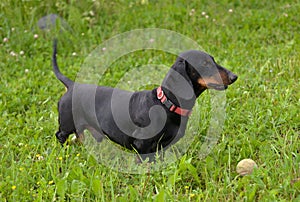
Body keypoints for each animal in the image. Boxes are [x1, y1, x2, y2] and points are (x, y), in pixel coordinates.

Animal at [52, 39, 238, 159]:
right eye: (205, 64)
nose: (234, 76)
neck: (166, 104)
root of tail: (72, 85)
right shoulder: (142, 146)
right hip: (66, 124)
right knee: (60, 135)